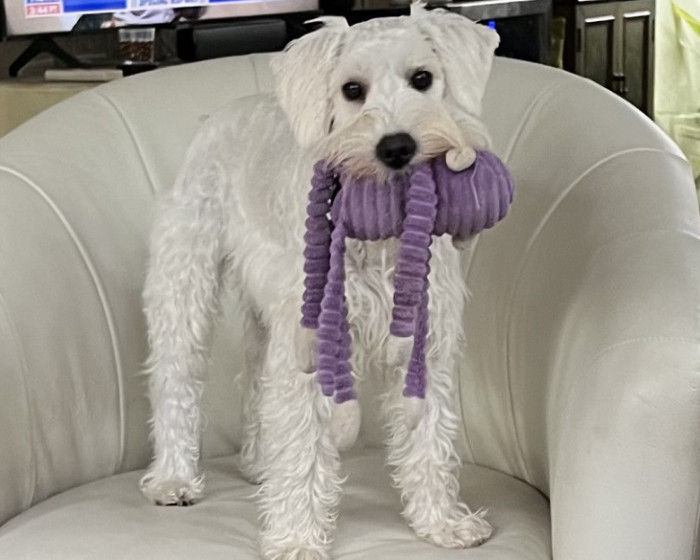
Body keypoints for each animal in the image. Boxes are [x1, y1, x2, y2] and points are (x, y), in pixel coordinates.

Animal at [139, 4, 500, 559]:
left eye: (423, 79)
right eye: (351, 90)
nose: (397, 147)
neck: (382, 237)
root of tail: (216, 118)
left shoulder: (426, 346)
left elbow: (430, 439)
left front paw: (441, 522)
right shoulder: (310, 351)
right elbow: (303, 446)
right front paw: (296, 538)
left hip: (266, 319)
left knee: (255, 384)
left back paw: (257, 463)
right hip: (186, 292)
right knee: (176, 381)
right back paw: (174, 478)